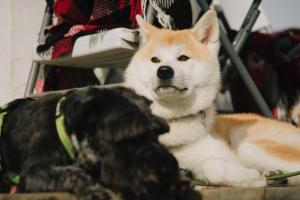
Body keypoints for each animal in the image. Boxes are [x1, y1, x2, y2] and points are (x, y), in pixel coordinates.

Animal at [0, 87, 202, 200]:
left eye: (156, 133)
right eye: (129, 135)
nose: (167, 168)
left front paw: (177, 181)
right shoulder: (33, 173)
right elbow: (72, 173)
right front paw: (92, 190)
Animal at [125, 10, 300, 187]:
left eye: (183, 58)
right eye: (155, 60)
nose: (164, 71)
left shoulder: (224, 156)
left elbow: (211, 166)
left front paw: (254, 177)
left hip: (248, 145)